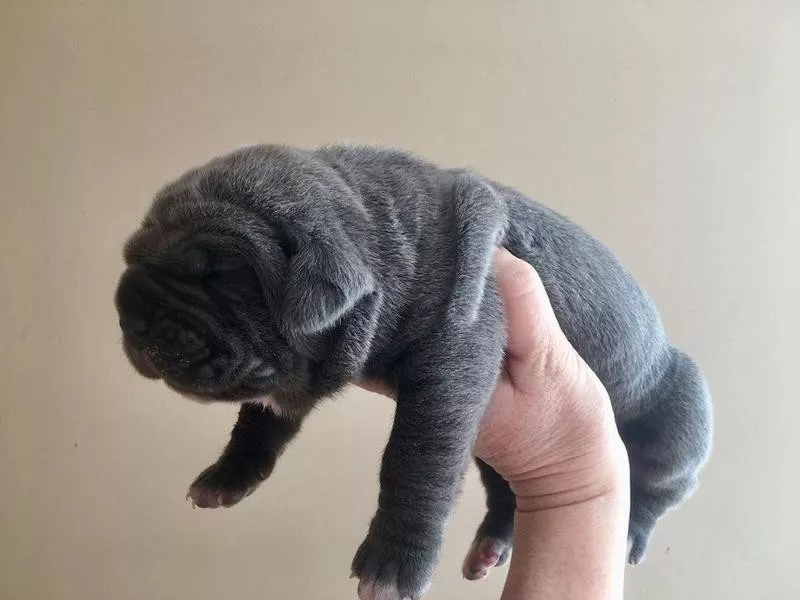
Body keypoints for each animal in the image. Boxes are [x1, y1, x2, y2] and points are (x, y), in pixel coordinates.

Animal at [114, 145, 712, 600]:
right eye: (133, 253)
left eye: (220, 275)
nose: (130, 307)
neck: (377, 236)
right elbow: (259, 422)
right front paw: (226, 477)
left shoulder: (459, 344)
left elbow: (416, 458)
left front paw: (391, 566)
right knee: (508, 495)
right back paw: (490, 545)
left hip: (679, 414)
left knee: (661, 482)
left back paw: (631, 531)